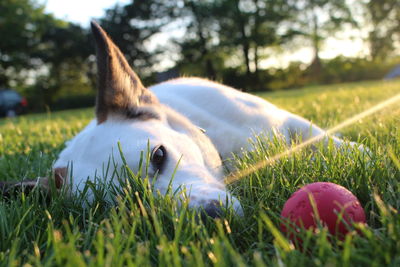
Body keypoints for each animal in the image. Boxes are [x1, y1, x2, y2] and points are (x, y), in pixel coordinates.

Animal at [0, 21, 366, 218]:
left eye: (159, 155)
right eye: (124, 205)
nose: (212, 218)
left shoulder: (285, 121)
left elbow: (324, 138)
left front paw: (361, 153)